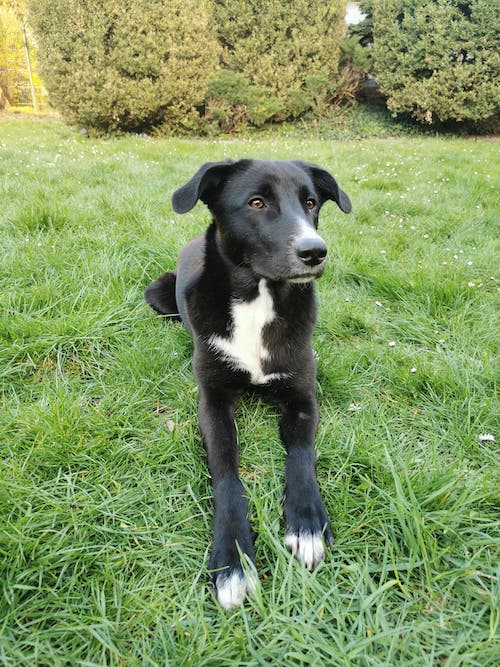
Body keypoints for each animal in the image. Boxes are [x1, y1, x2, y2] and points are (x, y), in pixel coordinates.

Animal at [145, 159, 351, 609]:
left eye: (311, 202)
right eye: (257, 202)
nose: (315, 251)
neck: (258, 297)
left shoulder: (302, 398)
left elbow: (301, 455)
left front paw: (306, 525)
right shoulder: (214, 403)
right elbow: (226, 475)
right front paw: (233, 559)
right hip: (157, 293)